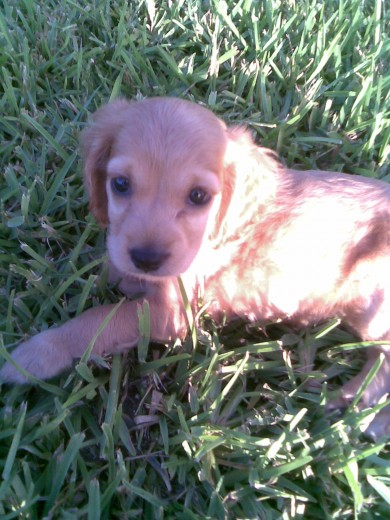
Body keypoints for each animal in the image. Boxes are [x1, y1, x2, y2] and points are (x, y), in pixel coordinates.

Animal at [0, 97, 390, 438]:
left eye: (199, 196)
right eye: (120, 184)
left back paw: (353, 406)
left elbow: (100, 319)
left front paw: (36, 355)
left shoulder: (172, 312)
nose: (147, 258)